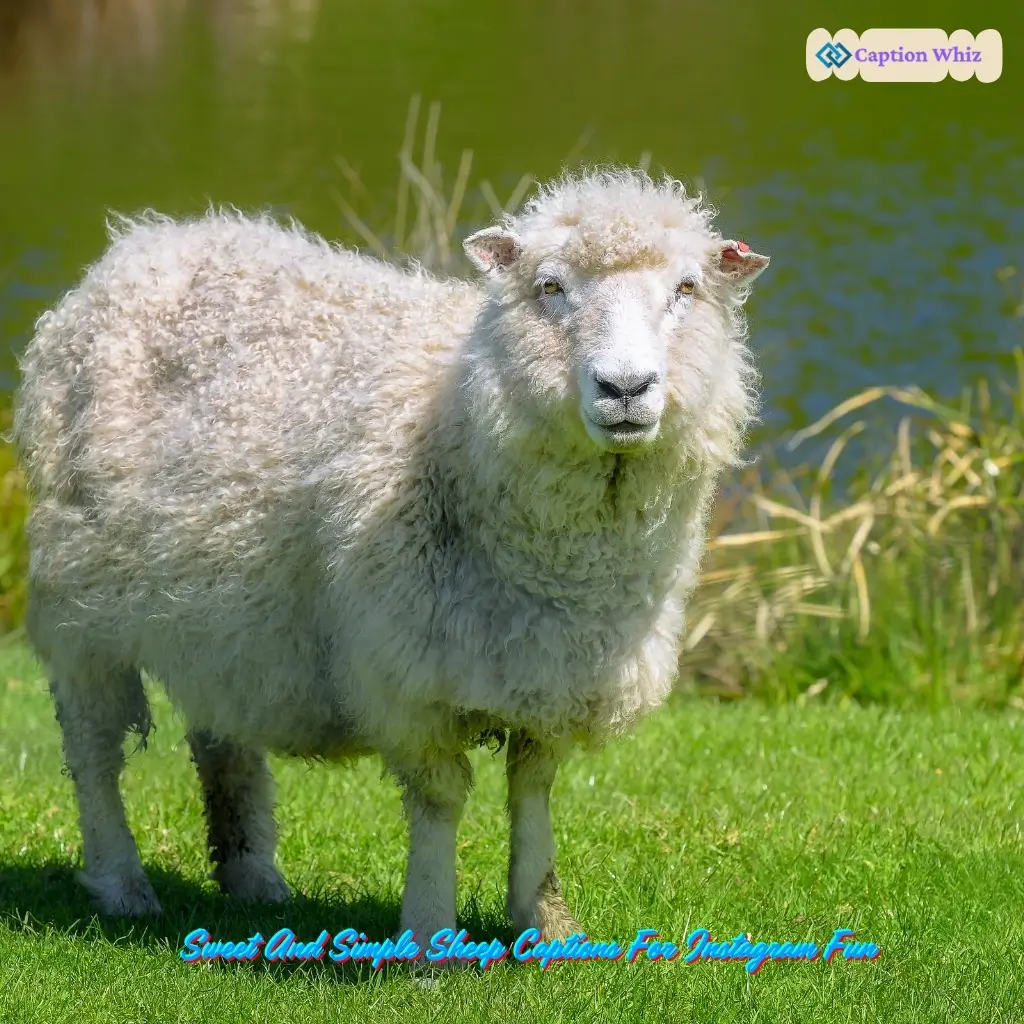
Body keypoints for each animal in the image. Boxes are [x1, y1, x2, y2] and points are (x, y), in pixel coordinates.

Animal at [13, 168, 769, 945]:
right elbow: (440, 799)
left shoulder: (551, 671)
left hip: (219, 609)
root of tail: (145, 242)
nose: (625, 389)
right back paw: (122, 882)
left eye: (686, 289)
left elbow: (532, 789)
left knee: (221, 728)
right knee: (93, 748)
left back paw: (251, 875)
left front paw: (543, 921)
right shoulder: (414, 674)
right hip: (80, 599)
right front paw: (430, 930)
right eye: (551, 287)